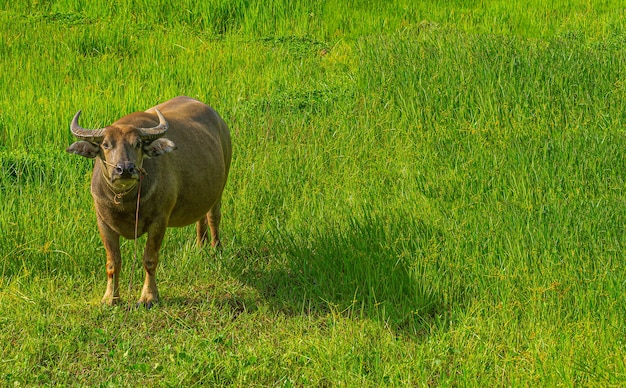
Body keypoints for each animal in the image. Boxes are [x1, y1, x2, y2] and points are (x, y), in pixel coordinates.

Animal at [66, 96, 232, 306]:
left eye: (137, 144)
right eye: (106, 144)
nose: (125, 169)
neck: (125, 202)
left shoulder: (159, 221)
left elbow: (150, 259)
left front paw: (148, 297)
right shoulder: (103, 223)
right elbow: (113, 262)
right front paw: (110, 298)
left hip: (221, 186)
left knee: (213, 217)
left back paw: (216, 249)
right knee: (200, 218)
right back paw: (200, 246)